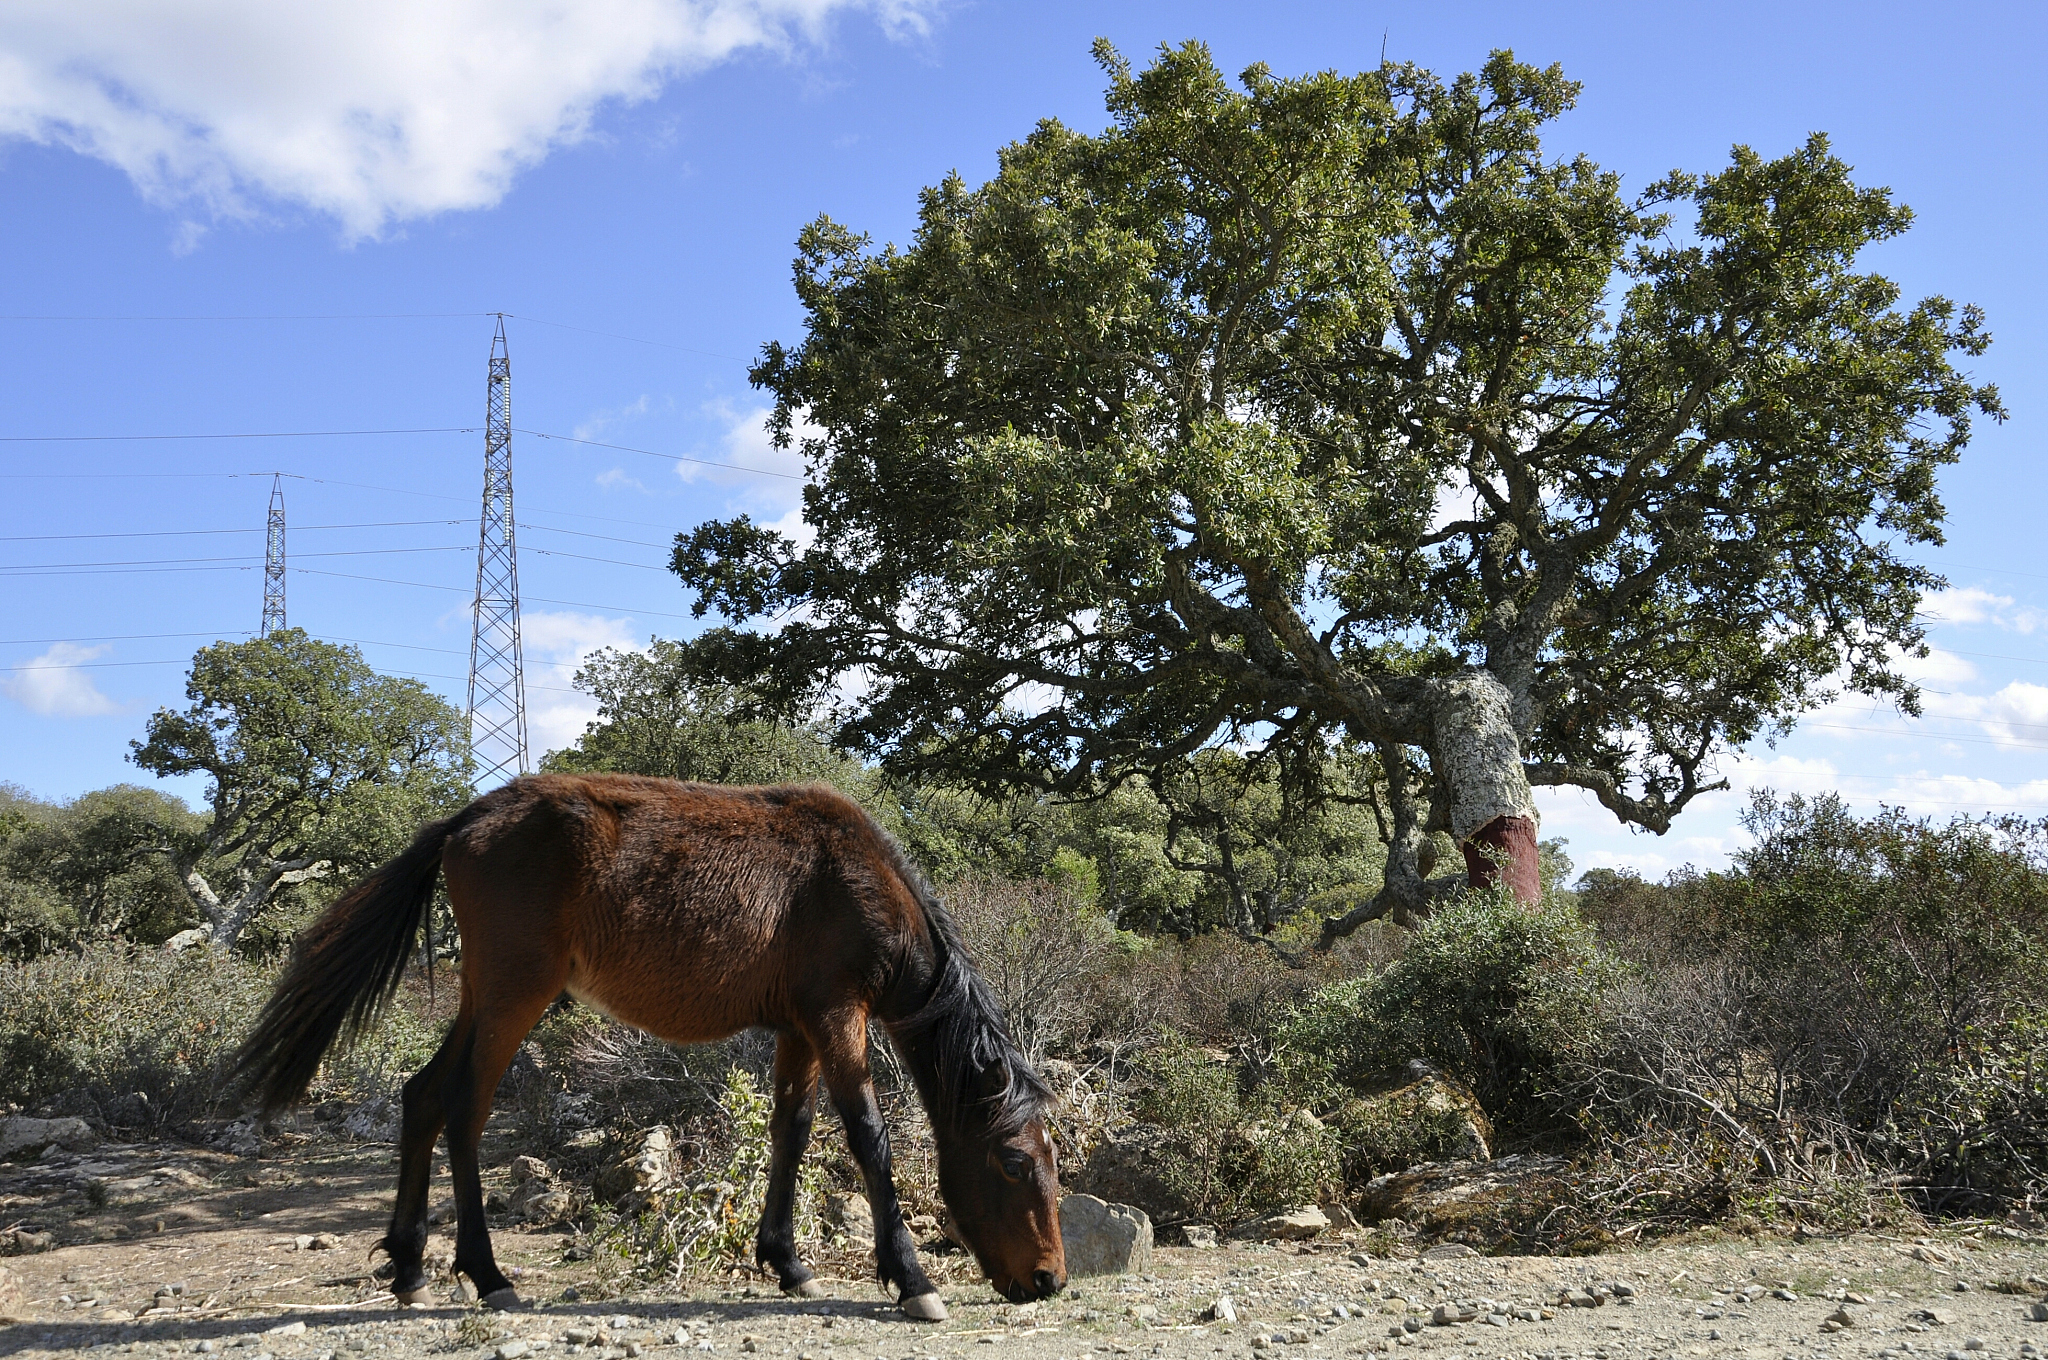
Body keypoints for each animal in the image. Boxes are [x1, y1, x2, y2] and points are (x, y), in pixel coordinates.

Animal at [232, 774, 1067, 1320]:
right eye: (1014, 1163)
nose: (1050, 1280)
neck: (856, 879)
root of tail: (469, 818)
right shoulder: (838, 1017)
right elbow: (869, 1138)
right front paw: (911, 1277)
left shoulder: (799, 1028)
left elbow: (791, 1132)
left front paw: (787, 1261)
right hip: (512, 995)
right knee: (465, 1109)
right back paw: (487, 1273)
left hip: (484, 997)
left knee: (425, 1096)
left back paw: (410, 1267)